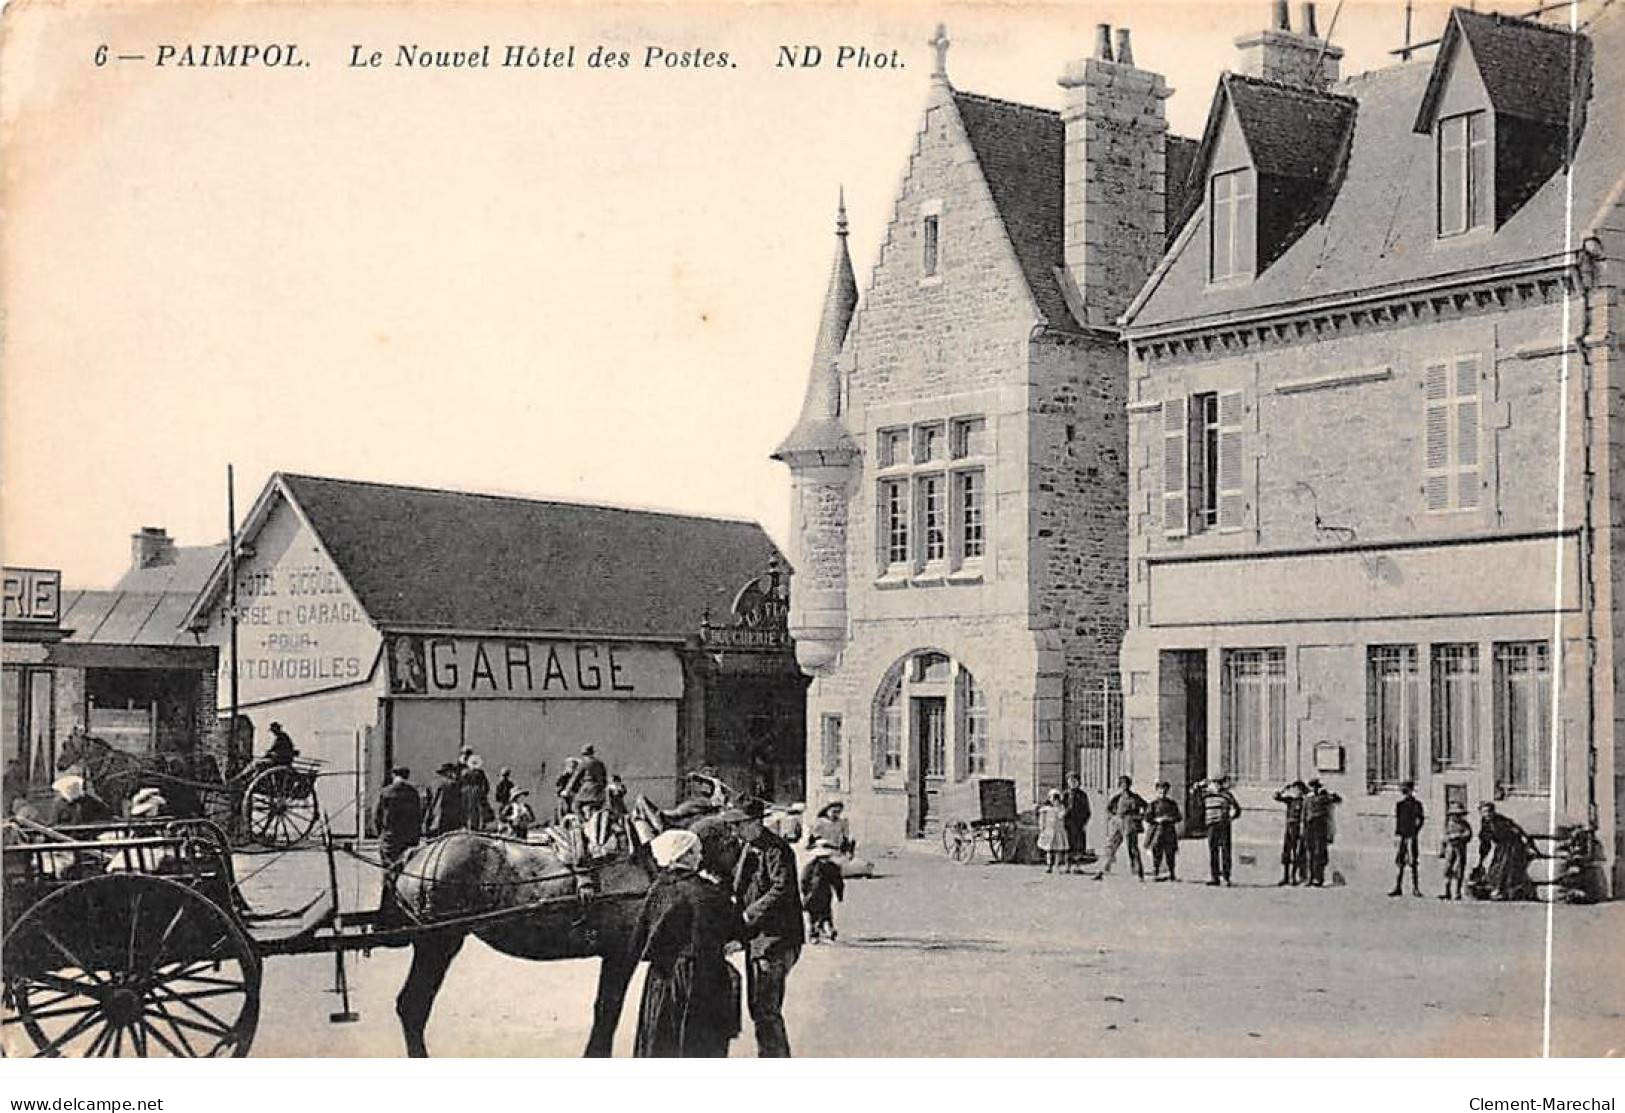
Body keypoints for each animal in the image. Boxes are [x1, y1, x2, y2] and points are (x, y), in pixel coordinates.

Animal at [390, 805, 744, 1052]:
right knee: (413, 1006)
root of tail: (419, 854)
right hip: (439, 941)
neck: (654, 858)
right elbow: (607, 1011)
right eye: (735, 841)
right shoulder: (621, 954)